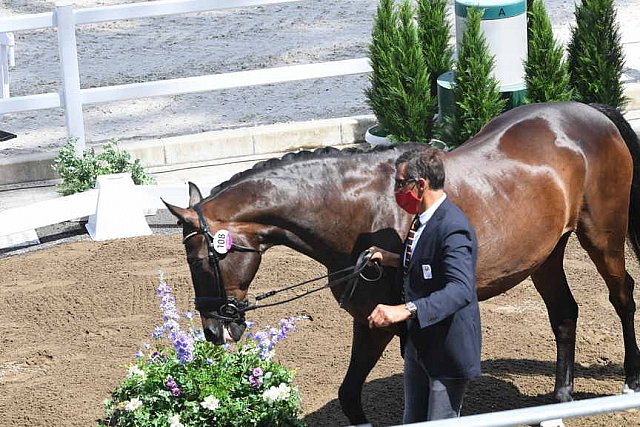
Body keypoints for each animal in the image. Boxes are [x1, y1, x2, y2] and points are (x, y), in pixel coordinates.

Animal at [164, 103, 640, 424]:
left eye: (201, 259)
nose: (213, 331)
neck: (357, 210)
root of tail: (586, 112)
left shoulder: (386, 322)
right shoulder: (369, 318)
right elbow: (350, 393)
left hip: (602, 236)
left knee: (622, 295)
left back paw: (630, 380)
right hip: (545, 255)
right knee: (564, 313)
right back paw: (561, 397)